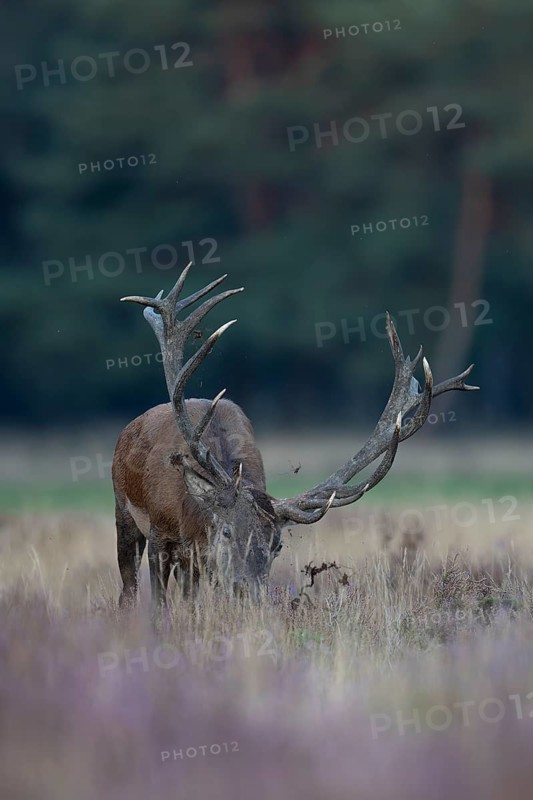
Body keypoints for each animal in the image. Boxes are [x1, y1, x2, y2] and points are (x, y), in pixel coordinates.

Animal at [112, 262, 478, 611]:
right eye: (227, 531)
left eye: (277, 544)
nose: (248, 592)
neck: (191, 513)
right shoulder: (160, 534)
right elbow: (159, 603)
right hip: (123, 510)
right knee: (128, 586)